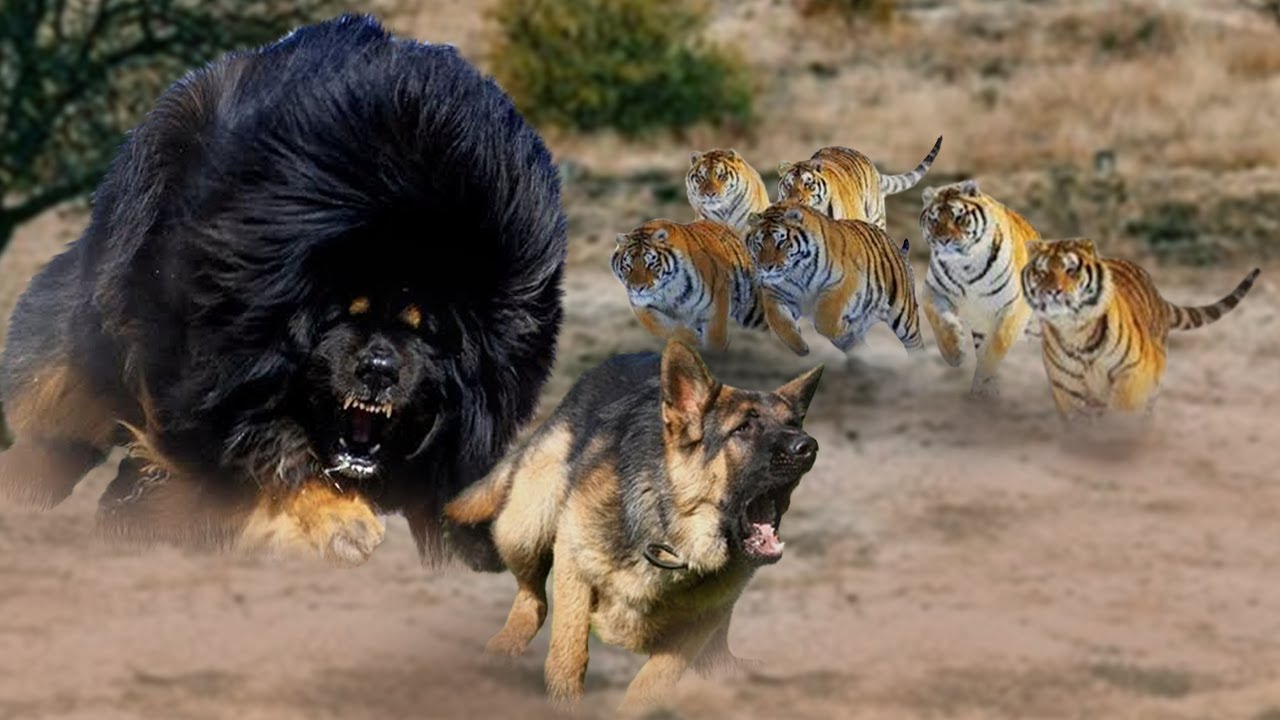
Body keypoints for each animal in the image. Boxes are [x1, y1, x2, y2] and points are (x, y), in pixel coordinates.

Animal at [611, 218, 766, 351]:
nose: (637, 289)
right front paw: (694, 340)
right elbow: (667, 328)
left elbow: (715, 338)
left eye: (650, 264)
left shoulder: (717, 299)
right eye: (628, 266)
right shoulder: (642, 308)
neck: (668, 291)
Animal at [744, 202, 922, 356]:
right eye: (759, 244)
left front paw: (842, 328)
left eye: (781, 241)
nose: (766, 267)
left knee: (916, 345)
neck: (796, 273)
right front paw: (800, 346)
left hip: (904, 317)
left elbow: (825, 318)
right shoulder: (774, 294)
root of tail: (898, 249)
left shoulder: (843, 282)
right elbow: (778, 321)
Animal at [920, 179, 1042, 397]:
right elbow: (940, 321)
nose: (943, 240)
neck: (965, 265)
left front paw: (984, 374)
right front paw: (955, 352)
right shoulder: (932, 291)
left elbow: (997, 343)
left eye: (959, 217)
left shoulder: (1014, 304)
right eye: (934, 220)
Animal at [1021, 237, 1260, 422]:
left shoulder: (1133, 372)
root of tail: (1158, 294)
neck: (1076, 330)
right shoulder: (1066, 384)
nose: (1053, 292)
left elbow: (1122, 409)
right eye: (1041, 273)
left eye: (1071, 270)